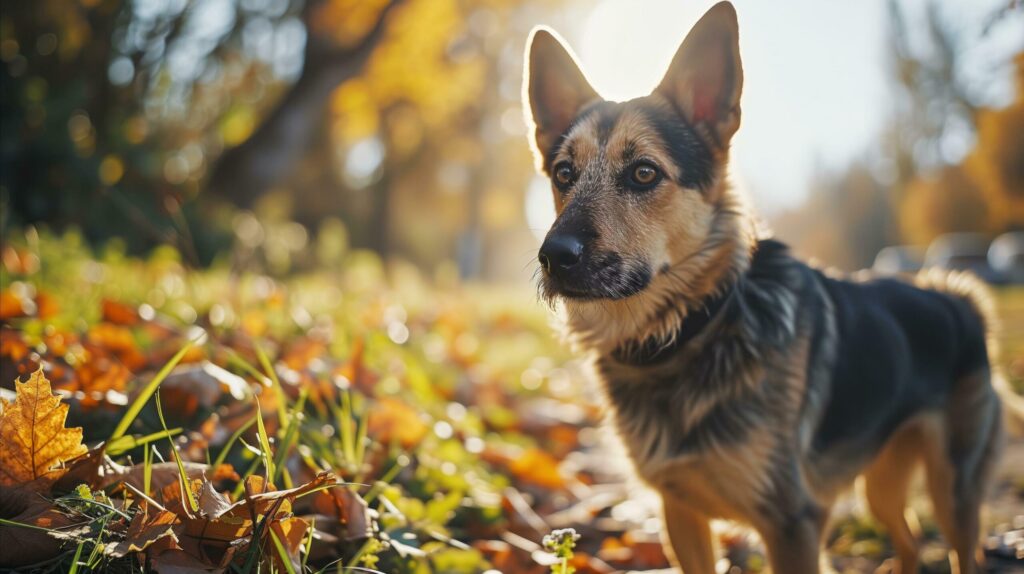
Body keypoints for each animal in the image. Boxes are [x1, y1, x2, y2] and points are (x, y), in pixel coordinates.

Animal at [520, 2, 1007, 568]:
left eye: (643, 173)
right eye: (563, 174)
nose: (554, 255)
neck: (700, 324)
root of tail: (956, 298)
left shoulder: (793, 522)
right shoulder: (680, 513)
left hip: (954, 490)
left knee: (959, 549)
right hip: (881, 483)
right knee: (907, 539)